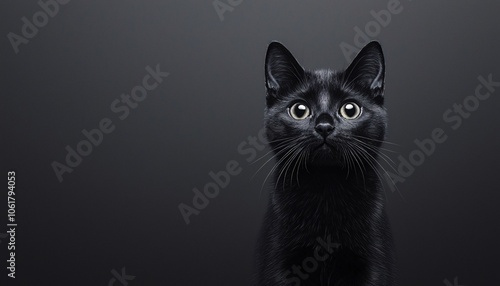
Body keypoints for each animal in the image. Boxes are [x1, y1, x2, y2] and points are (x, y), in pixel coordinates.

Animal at [258, 40, 394, 286]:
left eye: (350, 110)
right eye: (299, 110)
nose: (324, 126)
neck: (326, 188)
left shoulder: (373, 262)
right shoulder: (278, 261)